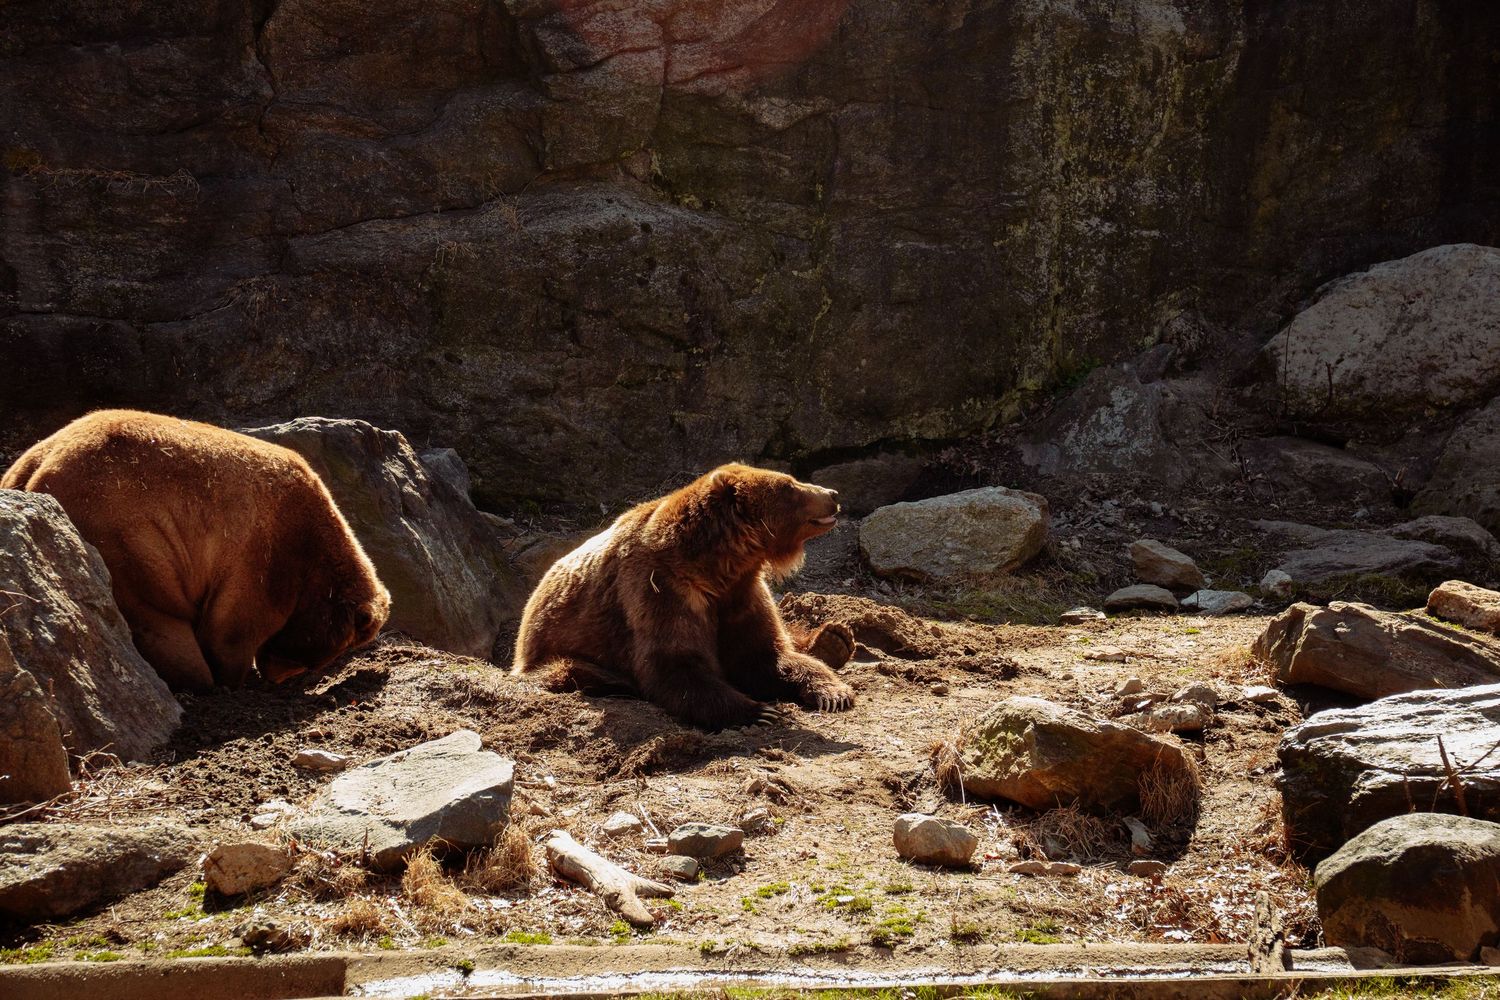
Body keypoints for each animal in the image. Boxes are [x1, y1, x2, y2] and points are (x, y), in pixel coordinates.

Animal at [2, 409, 391, 691]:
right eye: (321, 655)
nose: (278, 676)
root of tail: (34, 473)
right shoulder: (266, 548)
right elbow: (231, 627)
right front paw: (234, 676)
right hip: (125, 535)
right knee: (156, 614)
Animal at [511, 462, 857, 730]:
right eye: (789, 485)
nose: (833, 494)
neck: (716, 568)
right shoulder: (661, 590)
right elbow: (677, 665)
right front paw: (759, 711)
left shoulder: (740, 594)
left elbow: (766, 653)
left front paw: (835, 693)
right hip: (555, 651)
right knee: (570, 670)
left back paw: (835, 638)